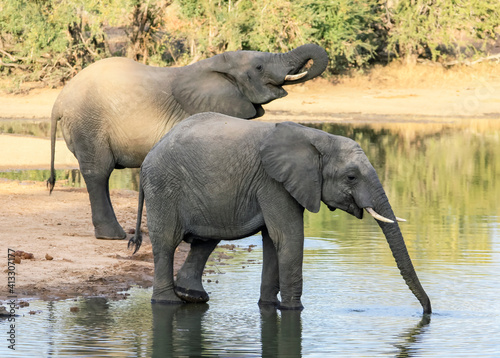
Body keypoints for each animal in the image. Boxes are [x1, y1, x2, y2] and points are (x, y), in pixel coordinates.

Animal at [47, 44, 328, 241]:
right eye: (258, 68)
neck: (215, 65)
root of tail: (59, 100)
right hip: (89, 122)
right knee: (98, 172)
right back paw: (114, 236)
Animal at [131, 112, 432, 314]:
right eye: (351, 177)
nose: (428, 313)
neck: (318, 138)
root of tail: (150, 153)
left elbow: (272, 241)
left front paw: (269, 305)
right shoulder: (273, 182)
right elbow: (288, 237)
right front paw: (293, 310)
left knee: (206, 241)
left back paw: (192, 297)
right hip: (163, 188)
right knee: (167, 243)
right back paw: (168, 302)